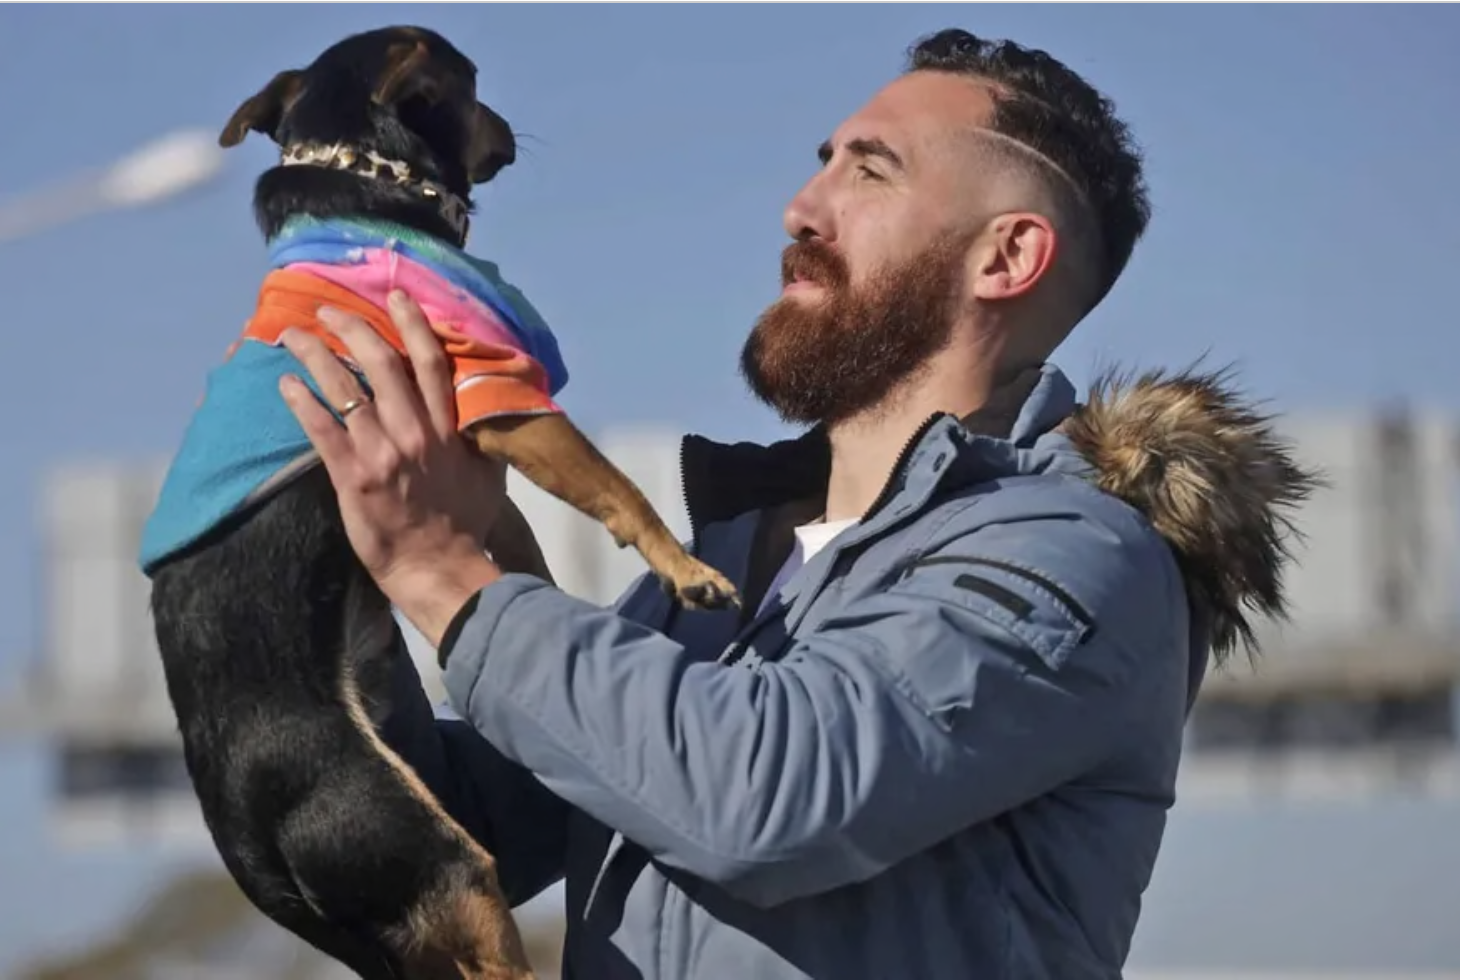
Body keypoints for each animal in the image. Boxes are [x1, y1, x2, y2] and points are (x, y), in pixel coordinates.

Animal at [142, 24, 741, 980]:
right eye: (473, 85)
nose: (509, 131)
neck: (365, 173)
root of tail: (245, 844)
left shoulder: (480, 443)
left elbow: (525, 547)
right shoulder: (498, 389)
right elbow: (620, 489)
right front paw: (687, 572)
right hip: (430, 854)